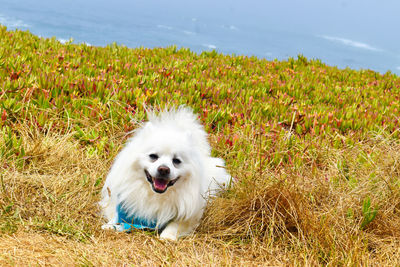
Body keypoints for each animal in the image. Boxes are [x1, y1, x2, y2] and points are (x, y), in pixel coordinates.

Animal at [99, 108, 231, 242]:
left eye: (176, 161)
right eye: (153, 156)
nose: (163, 169)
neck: (156, 195)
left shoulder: (190, 214)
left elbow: (175, 224)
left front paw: (167, 237)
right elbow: (116, 216)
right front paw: (110, 226)